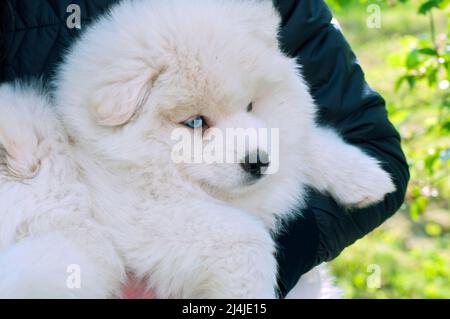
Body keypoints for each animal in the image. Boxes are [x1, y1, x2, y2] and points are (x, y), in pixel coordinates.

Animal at [0, 0, 394, 300]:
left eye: (251, 105)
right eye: (194, 122)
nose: (258, 162)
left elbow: (305, 140)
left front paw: (367, 178)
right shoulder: (144, 216)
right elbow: (246, 237)